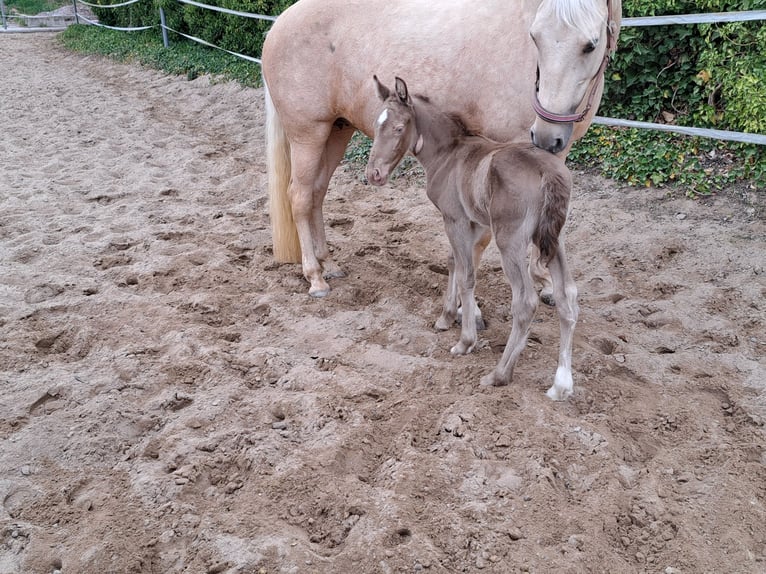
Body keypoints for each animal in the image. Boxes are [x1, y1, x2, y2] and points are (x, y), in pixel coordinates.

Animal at [261, 0, 620, 297]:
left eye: (590, 44)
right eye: (535, 37)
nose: (545, 134)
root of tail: (279, 25)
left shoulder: (554, 154)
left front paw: (543, 282)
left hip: (338, 130)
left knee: (317, 192)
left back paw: (329, 264)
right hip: (309, 134)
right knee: (300, 196)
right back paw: (315, 277)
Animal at [367, 76, 578, 400]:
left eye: (399, 128)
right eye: (377, 125)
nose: (373, 174)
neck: (448, 153)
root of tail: (548, 172)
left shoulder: (454, 219)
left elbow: (467, 274)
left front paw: (465, 340)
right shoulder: (473, 223)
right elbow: (455, 262)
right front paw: (446, 317)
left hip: (511, 242)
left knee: (526, 301)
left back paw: (499, 374)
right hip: (555, 241)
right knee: (567, 296)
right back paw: (561, 384)